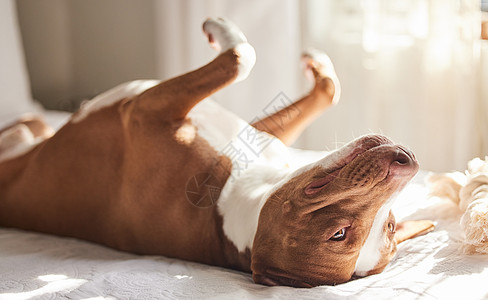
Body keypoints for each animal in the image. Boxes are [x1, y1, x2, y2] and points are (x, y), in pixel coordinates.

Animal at [0, 17, 434, 288]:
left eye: (339, 234)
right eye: (392, 224)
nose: (407, 163)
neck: (232, 200)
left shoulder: (145, 109)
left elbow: (239, 57)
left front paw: (220, 29)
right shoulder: (257, 133)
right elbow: (327, 90)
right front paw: (317, 62)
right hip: (30, 130)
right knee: (27, 125)